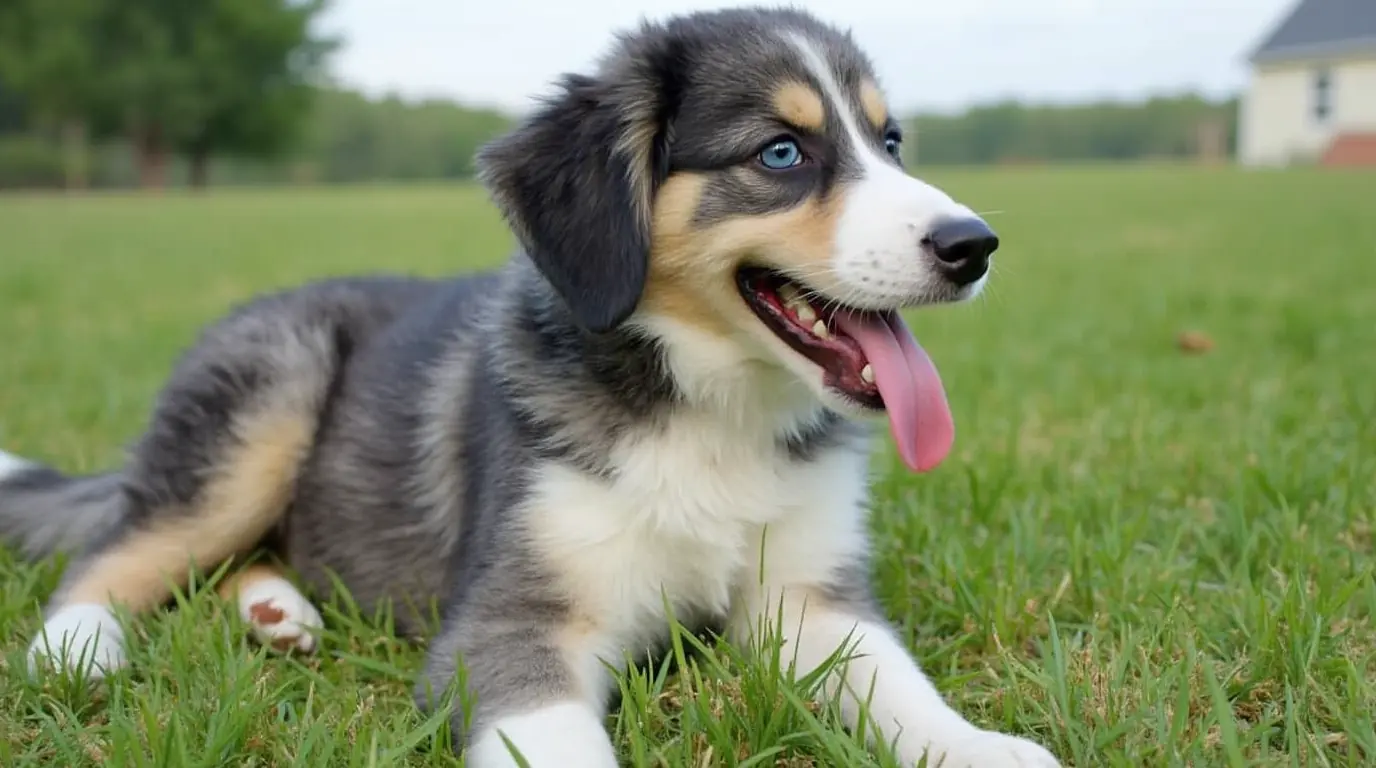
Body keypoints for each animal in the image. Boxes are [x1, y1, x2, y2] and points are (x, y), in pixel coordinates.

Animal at [0, 6, 1056, 768]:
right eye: (782, 154)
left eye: (893, 142)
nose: (974, 247)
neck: (705, 408)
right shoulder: (510, 622)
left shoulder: (811, 600)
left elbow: (899, 686)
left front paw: (986, 750)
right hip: (261, 407)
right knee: (116, 549)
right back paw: (77, 652)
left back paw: (277, 613)